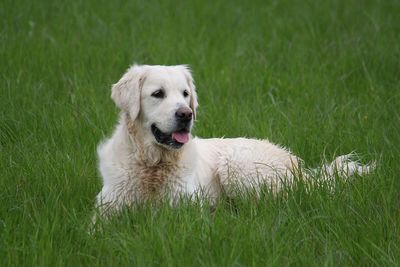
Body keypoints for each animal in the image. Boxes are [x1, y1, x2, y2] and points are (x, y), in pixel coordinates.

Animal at [94, 64, 376, 218]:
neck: (152, 166)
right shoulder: (105, 210)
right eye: (158, 94)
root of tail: (296, 163)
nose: (186, 114)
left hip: (236, 165)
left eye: (185, 94)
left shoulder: (185, 208)